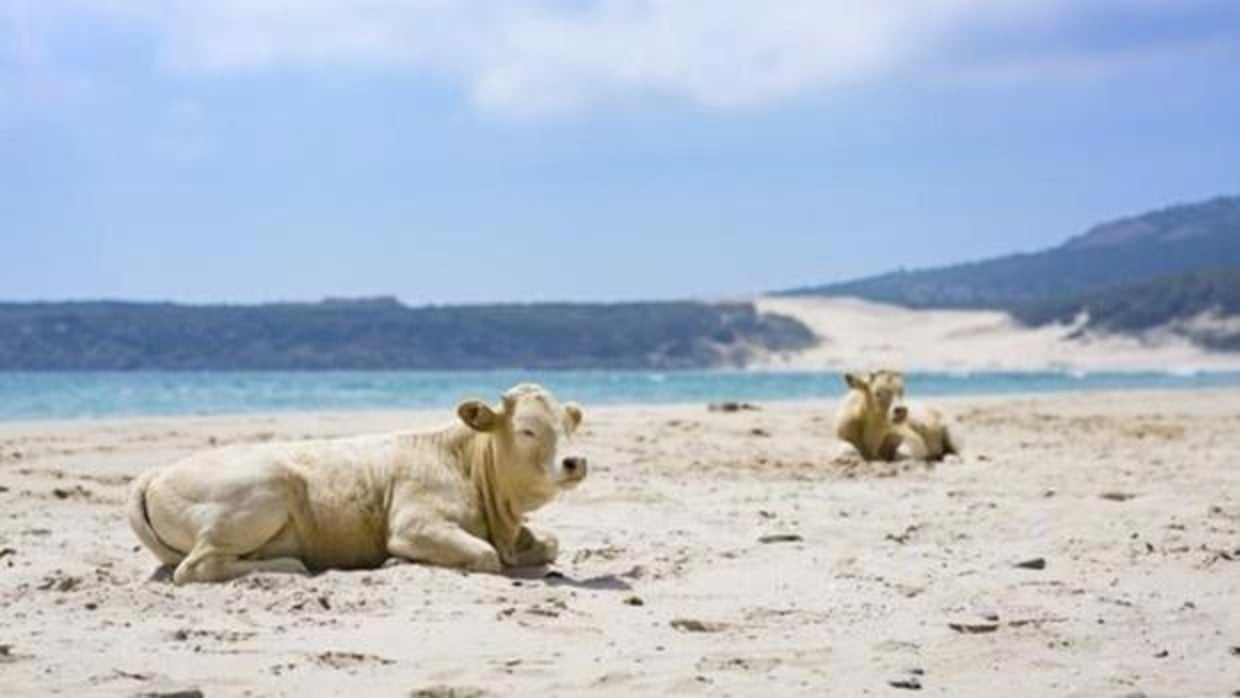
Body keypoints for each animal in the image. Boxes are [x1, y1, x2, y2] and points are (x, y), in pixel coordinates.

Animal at [124, 381, 585, 585]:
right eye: (527, 431)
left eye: (569, 426)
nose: (575, 461)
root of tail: (156, 472)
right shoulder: (414, 524)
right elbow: (485, 556)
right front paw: (398, 562)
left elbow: (550, 543)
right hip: (265, 491)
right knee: (195, 567)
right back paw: (293, 565)